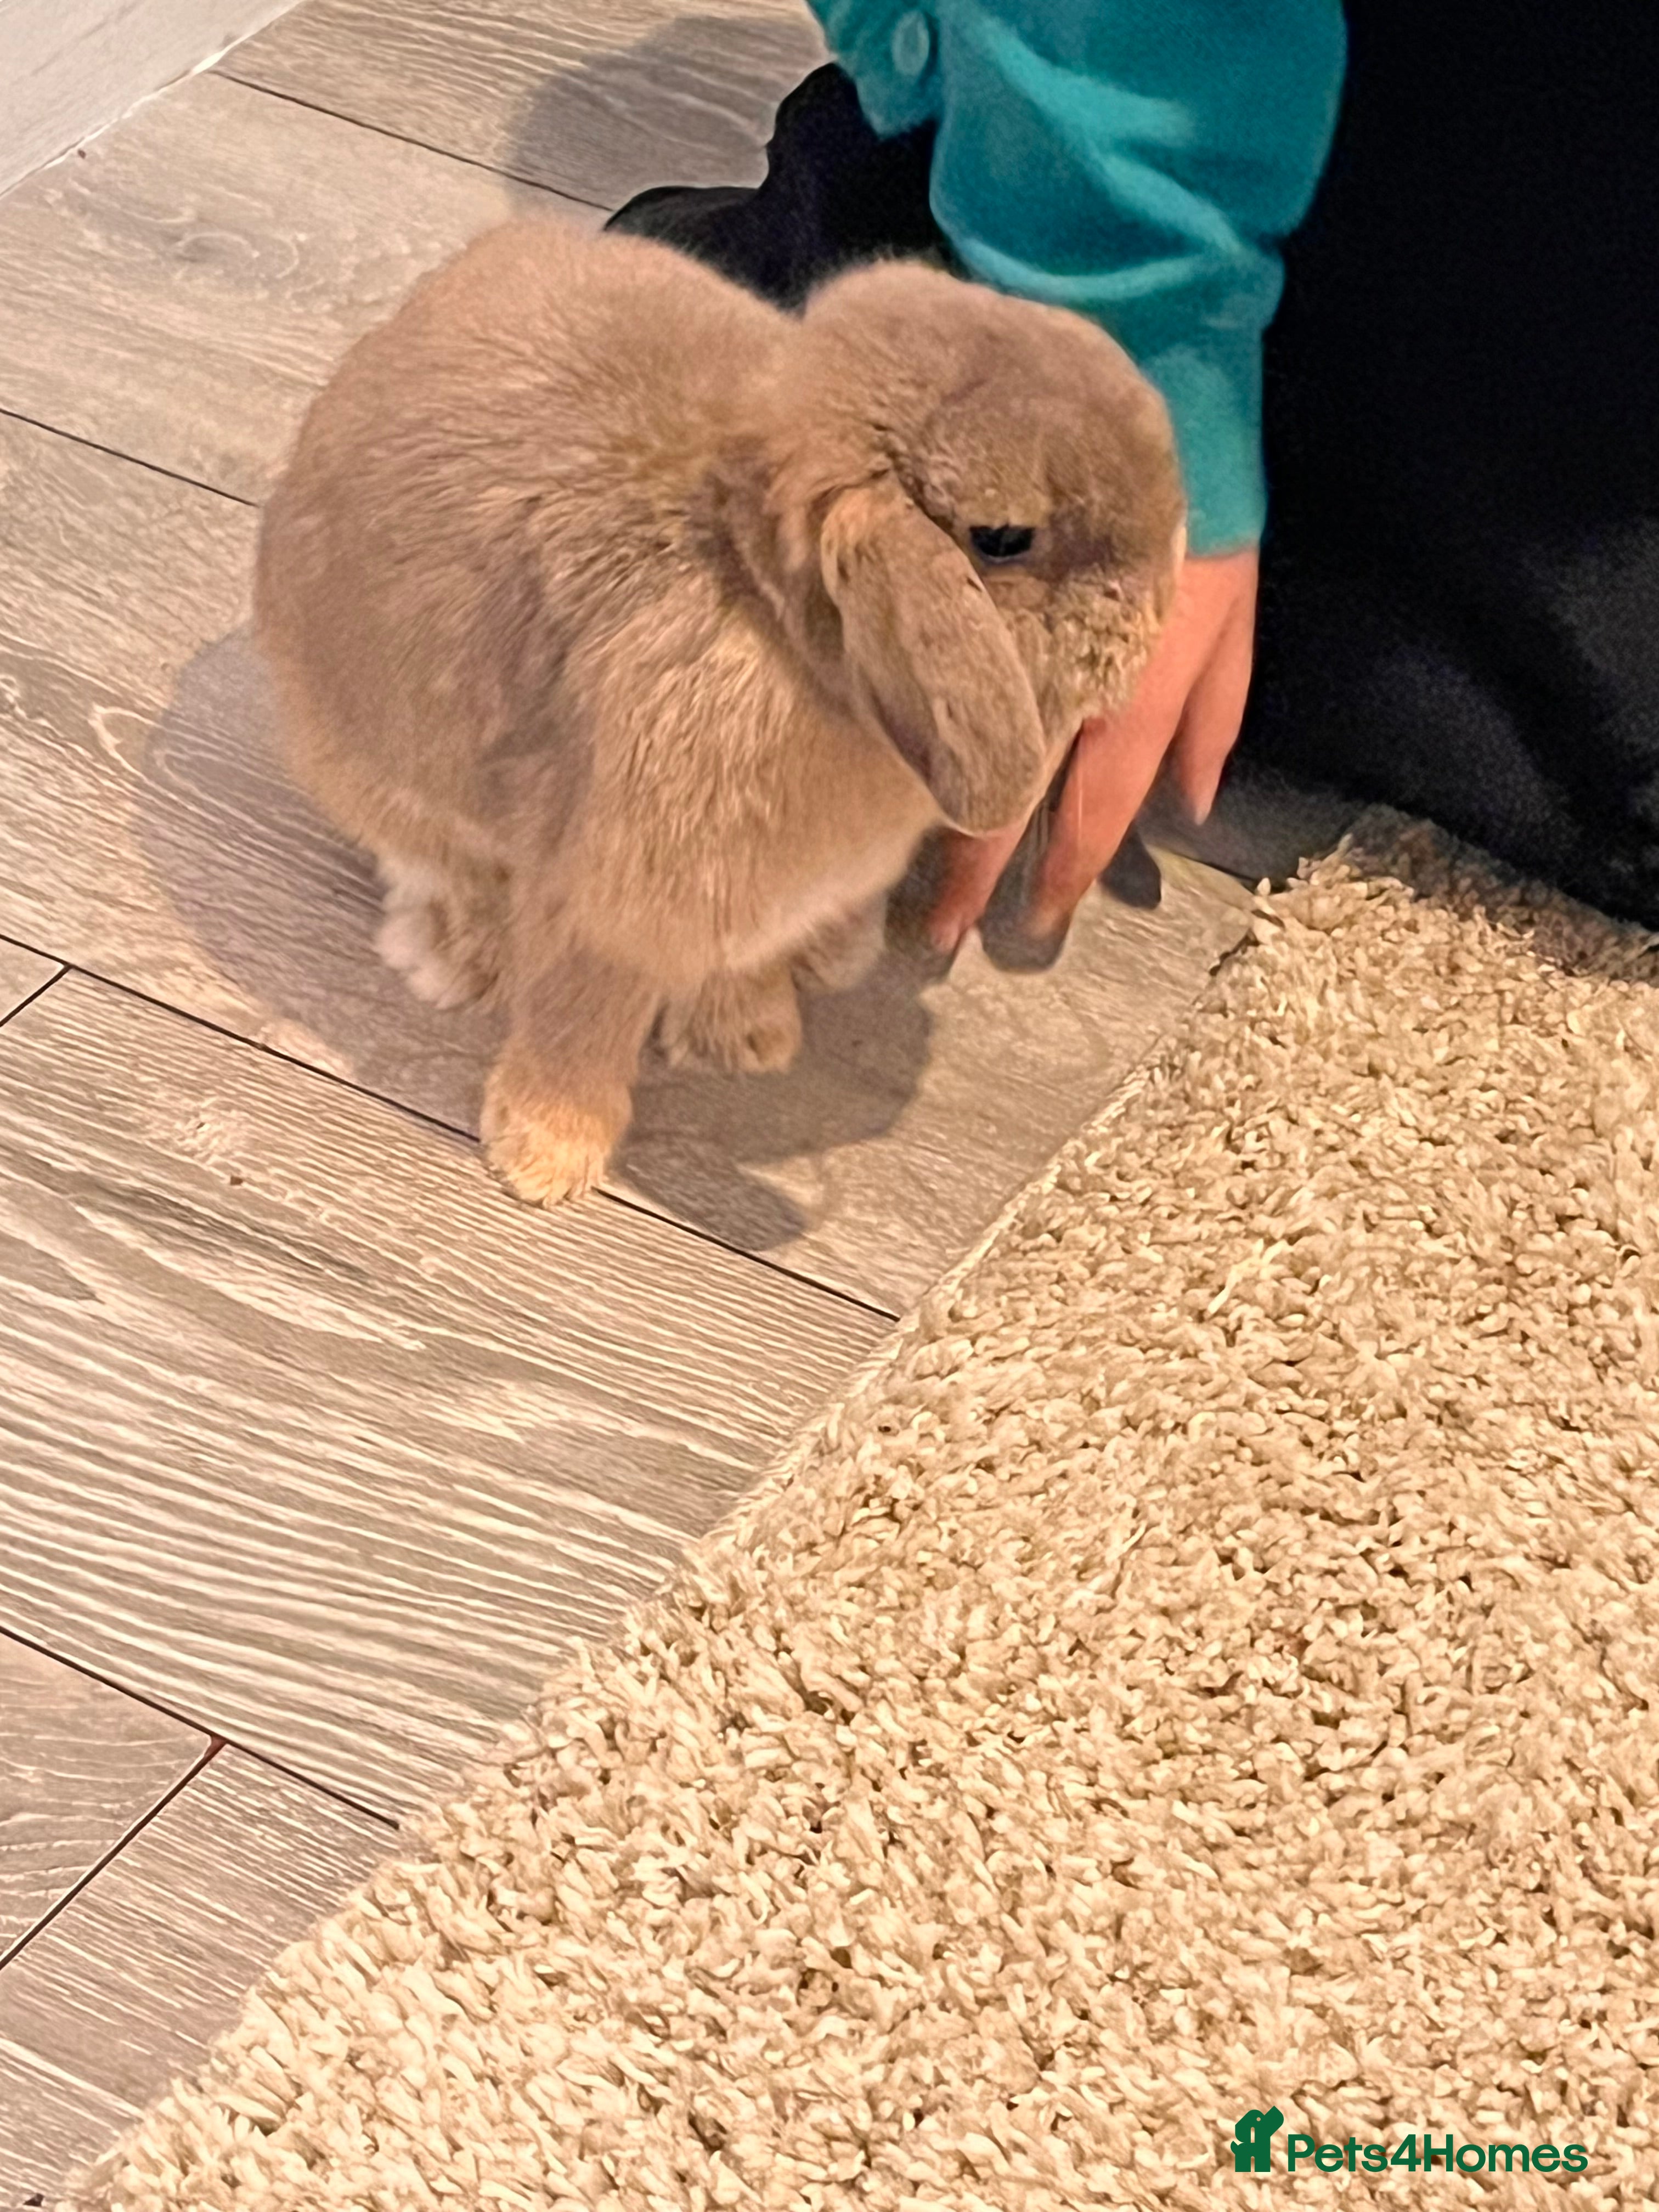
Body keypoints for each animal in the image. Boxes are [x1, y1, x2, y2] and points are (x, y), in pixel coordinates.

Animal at [255, 218, 1185, 1206]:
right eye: (1003, 538)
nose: (1163, 597)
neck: (785, 624)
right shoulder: (614, 910)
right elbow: (578, 1027)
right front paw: (543, 1163)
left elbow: (735, 971)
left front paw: (751, 1042)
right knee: (436, 866)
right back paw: (460, 960)